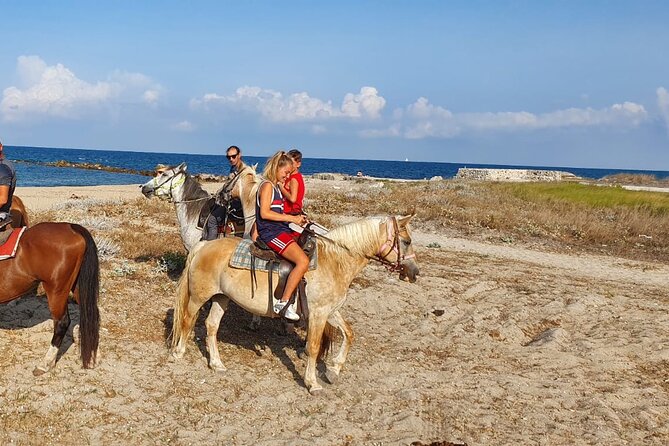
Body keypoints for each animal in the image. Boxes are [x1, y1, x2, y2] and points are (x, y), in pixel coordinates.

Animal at [0, 222, 100, 372]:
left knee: (62, 322)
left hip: (56, 290)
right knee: (91, 313)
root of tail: (70, 227)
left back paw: (46, 363)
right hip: (77, 285)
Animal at [172, 214, 418, 392]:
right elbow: (313, 347)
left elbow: (349, 333)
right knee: (187, 320)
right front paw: (312, 383)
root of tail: (203, 246)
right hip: (199, 296)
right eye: (406, 241)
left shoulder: (329, 311)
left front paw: (334, 370)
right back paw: (179, 352)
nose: (415, 273)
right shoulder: (318, 314)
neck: (334, 261)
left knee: (211, 326)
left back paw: (216, 364)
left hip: (221, 298)